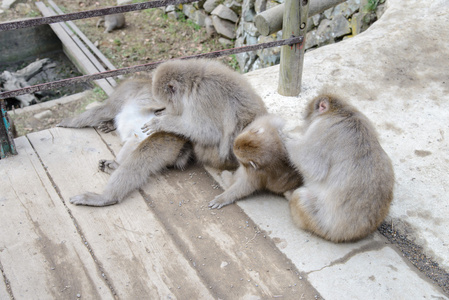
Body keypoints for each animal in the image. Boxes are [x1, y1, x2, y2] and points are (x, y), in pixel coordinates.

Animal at [57, 74, 191, 206]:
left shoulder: (127, 90)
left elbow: (104, 110)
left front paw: (69, 121)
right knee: (135, 142)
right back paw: (115, 166)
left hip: (169, 139)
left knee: (145, 151)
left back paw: (106, 197)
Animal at [284, 95, 392, 243]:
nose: (305, 125)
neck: (341, 111)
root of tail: (350, 235)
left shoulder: (323, 129)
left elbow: (311, 165)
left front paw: (284, 137)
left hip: (320, 222)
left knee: (301, 198)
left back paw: (291, 196)